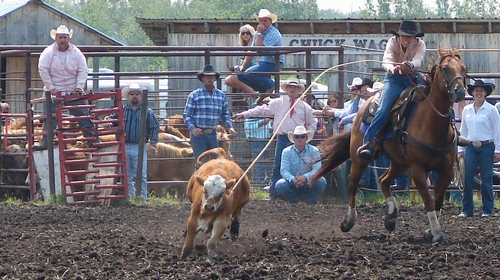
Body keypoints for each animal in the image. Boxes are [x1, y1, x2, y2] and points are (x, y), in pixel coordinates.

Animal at [310, 47, 466, 244]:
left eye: (463, 68)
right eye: (445, 69)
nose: (460, 92)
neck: (431, 124)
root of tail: (364, 106)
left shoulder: (446, 170)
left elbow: (438, 201)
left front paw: (430, 231)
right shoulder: (418, 170)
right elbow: (429, 201)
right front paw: (437, 233)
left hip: (399, 163)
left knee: (384, 180)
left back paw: (391, 215)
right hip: (360, 157)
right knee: (353, 183)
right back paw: (348, 221)